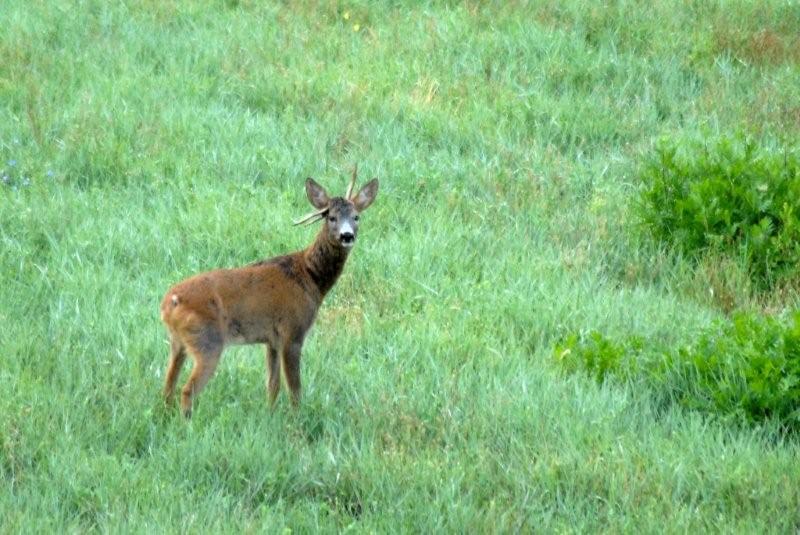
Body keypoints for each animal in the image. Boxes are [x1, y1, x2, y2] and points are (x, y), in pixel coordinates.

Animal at [161, 169, 380, 418]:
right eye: (331, 217)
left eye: (356, 217)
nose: (346, 236)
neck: (309, 277)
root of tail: (170, 302)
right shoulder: (293, 332)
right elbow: (294, 389)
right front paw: (296, 419)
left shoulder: (271, 339)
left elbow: (272, 385)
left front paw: (270, 414)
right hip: (207, 341)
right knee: (187, 390)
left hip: (177, 342)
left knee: (168, 385)